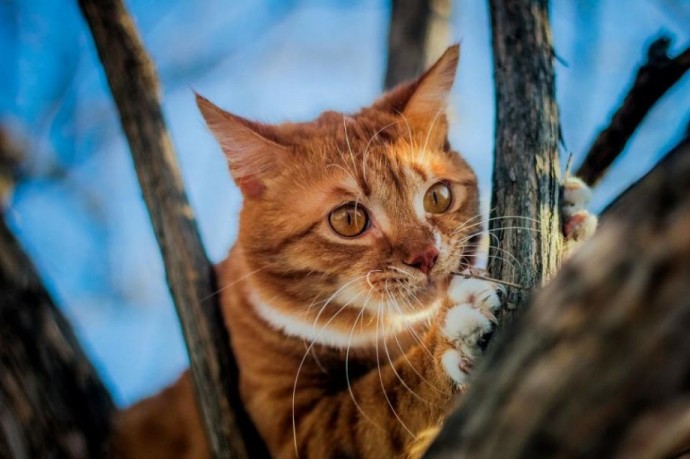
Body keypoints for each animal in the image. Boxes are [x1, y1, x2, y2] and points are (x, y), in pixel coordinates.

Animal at [113, 44, 506, 459]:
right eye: (349, 219)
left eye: (438, 197)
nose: (426, 255)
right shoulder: (297, 430)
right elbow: (383, 405)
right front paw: (452, 337)